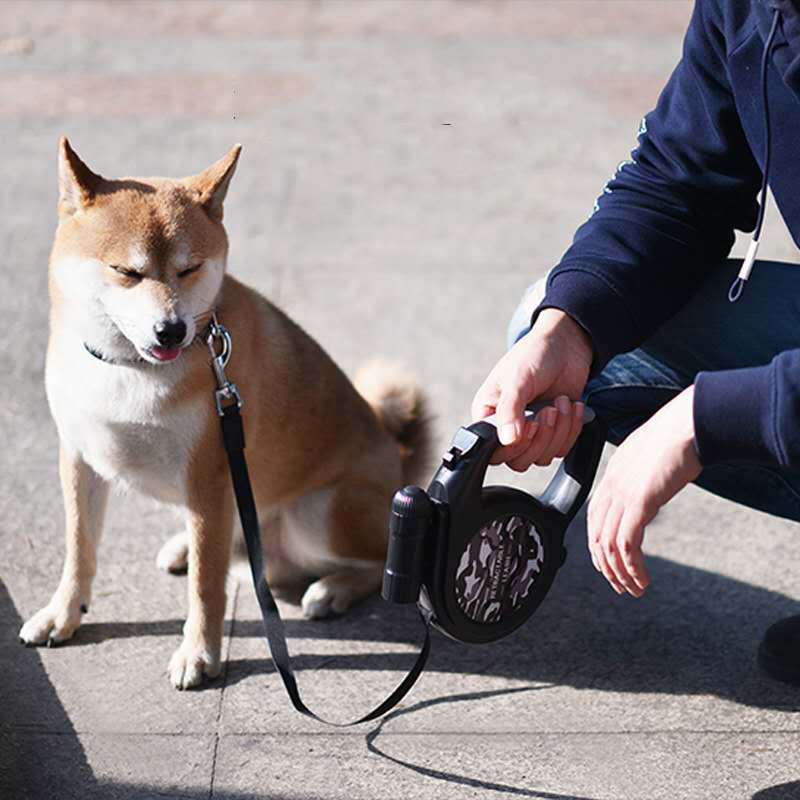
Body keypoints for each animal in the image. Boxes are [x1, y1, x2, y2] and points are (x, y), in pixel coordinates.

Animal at [17, 141, 432, 692]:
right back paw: (183, 547)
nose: (171, 330)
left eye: (189, 268)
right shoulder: (81, 458)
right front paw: (63, 614)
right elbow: (79, 551)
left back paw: (334, 589)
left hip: (317, 513)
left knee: (382, 560)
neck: (129, 369)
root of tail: (397, 460)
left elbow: (206, 588)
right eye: (127, 272)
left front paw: (200, 653)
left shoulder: (209, 478)